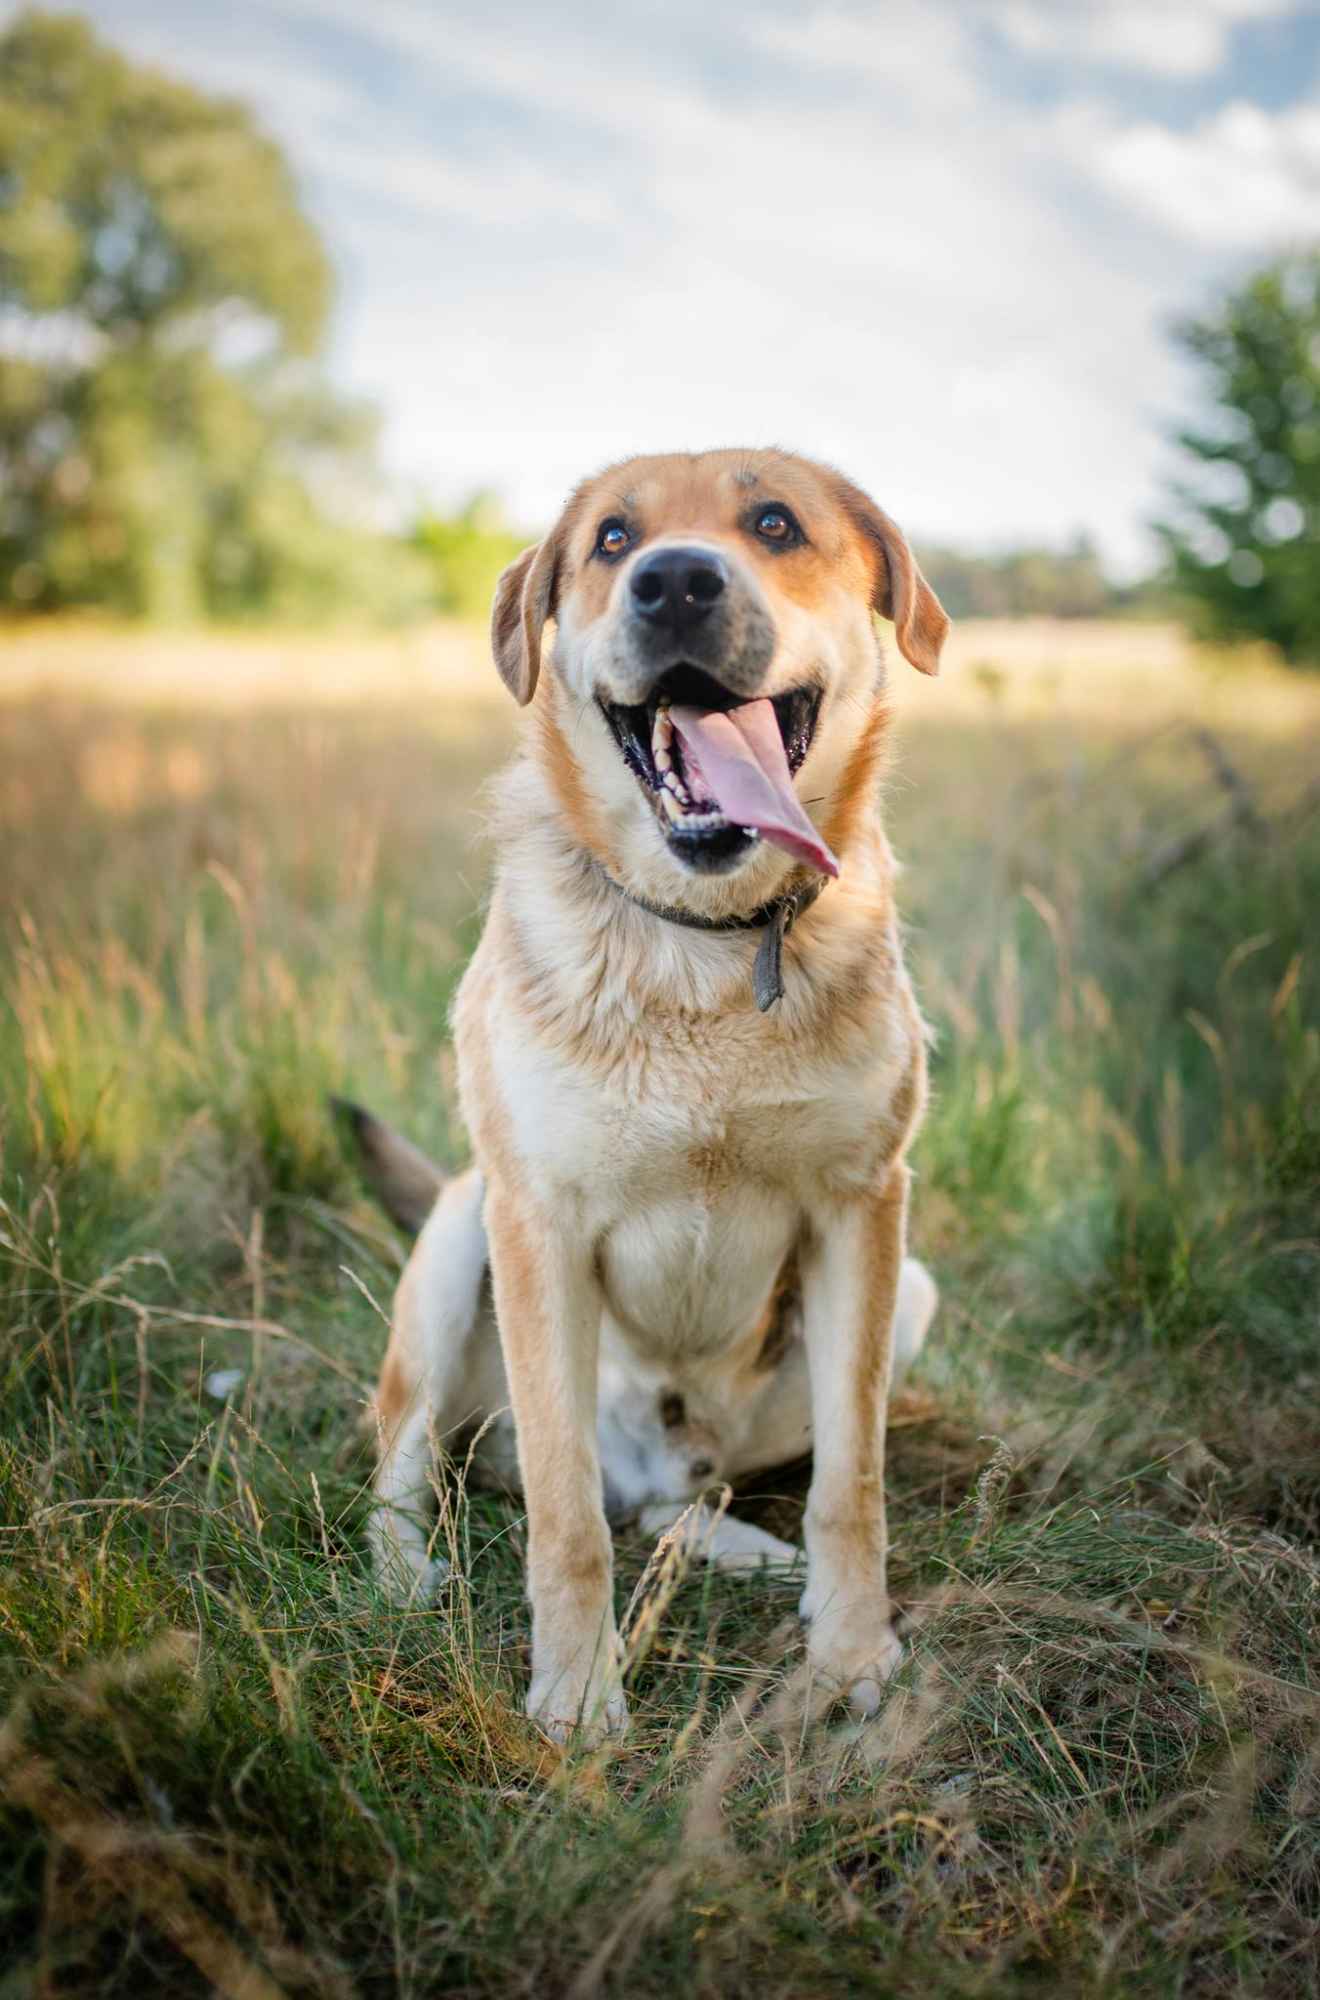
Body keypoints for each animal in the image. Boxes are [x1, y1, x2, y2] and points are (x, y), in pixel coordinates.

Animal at [356, 446, 944, 1744]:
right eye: (613, 540)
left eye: (775, 522)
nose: (675, 582)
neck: (706, 945)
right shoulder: (536, 1221)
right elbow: (565, 1512)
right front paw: (577, 1696)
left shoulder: (862, 1207)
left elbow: (852, 1480)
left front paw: (848, 1654)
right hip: (457, 1234)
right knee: (409, 1463)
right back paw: (405, 1575)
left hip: (909, 1296)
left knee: (673, 1506)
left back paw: (740, 1548)